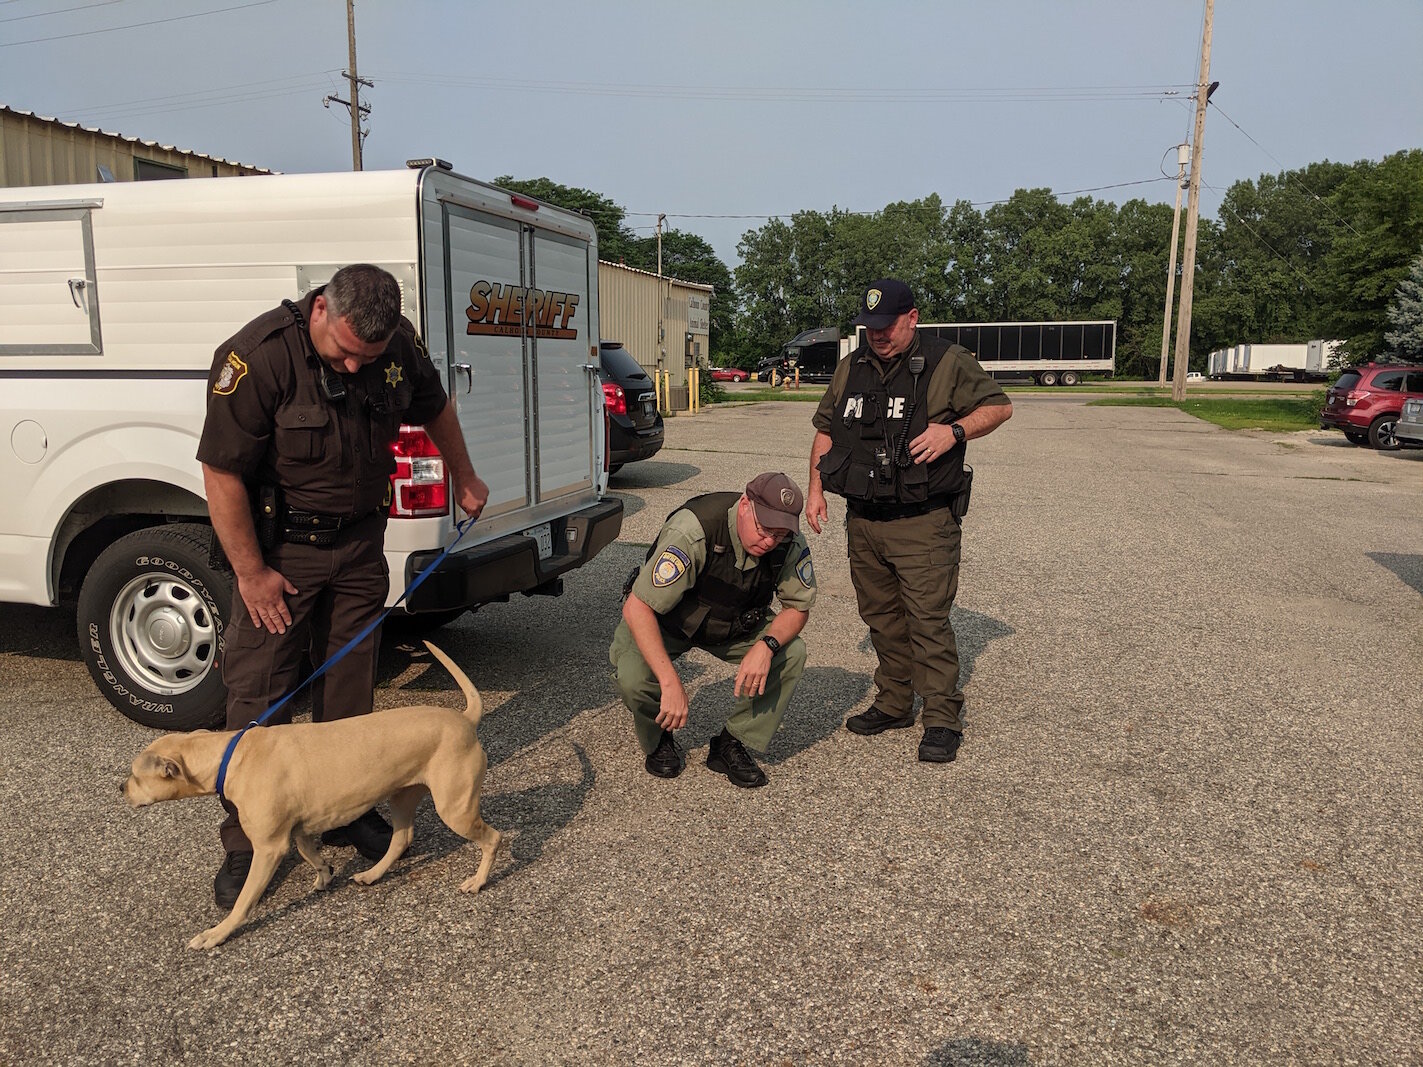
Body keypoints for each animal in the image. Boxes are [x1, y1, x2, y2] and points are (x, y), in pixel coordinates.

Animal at [122, 643, 503, 950]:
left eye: (135, 775)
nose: (121, 789)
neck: (231, 755)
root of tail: (465, 720)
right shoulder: (299, 829)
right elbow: (310, 854)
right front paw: (324, 875)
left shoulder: (269, 846)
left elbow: (244, 900)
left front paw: (217, 934)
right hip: (403, 796)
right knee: (402, 838)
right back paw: (372, 874)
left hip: (455, 807)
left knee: (493, 838)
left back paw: (477, 881)